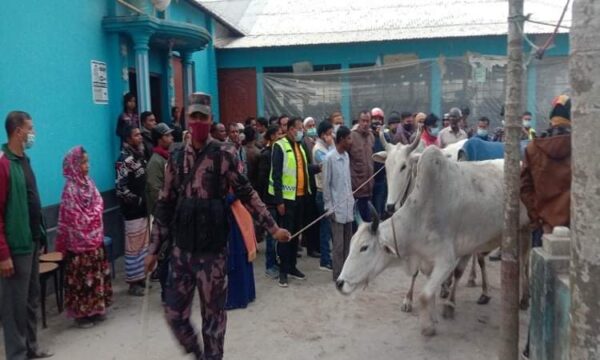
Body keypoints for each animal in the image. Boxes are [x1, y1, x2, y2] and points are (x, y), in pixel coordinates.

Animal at [338, 145, 528, 336]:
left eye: (364, 247)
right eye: (351, 245)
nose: (339, 283)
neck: (419, 218)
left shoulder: (445, 261)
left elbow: (424, 296)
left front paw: (428, 327)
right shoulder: (427, 262)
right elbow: (430, 292)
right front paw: (433, 317)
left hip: (525, 229)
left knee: (522, 260)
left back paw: (520, 299)